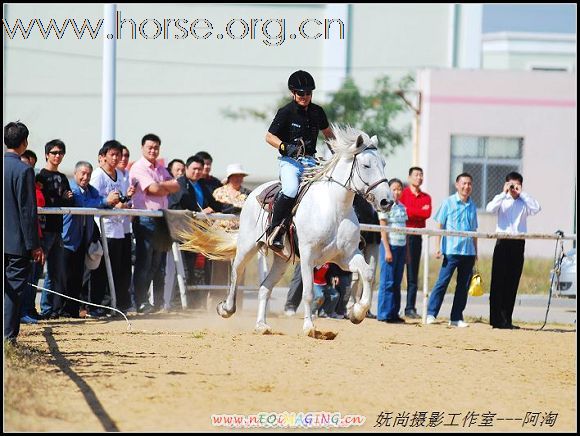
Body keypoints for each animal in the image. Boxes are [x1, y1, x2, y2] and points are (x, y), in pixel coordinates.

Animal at [181, 124, 394, 336]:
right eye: (366, 165)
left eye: (384, 164)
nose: (387, 201)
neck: (334, 208)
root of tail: (254, 192)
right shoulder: (308, 256)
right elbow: (308, 292)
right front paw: (309, 327)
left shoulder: (346, 256)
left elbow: (367, 273)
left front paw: (357, 313)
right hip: (247, 246)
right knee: (236, 272)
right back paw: (226, 308)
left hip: (281, 260)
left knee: (264, 287)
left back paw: (262, 325)